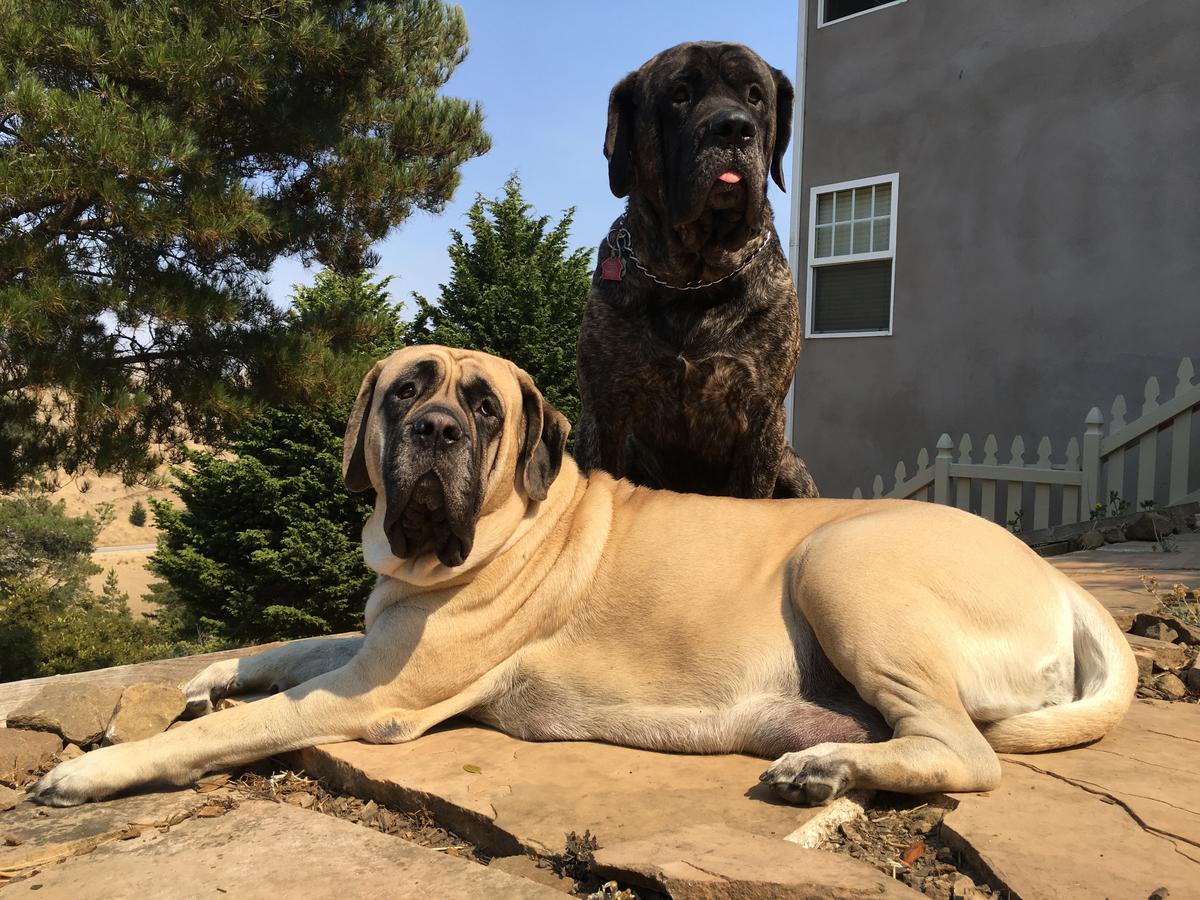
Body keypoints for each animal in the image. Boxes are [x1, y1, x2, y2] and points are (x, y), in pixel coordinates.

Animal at [28, 348, 1132, 811]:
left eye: (483, 407)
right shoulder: (377, 640)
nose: (437, 432)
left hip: (841, 561)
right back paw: (828, 762)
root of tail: (1068, 585)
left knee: (969, 754)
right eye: (403, 394)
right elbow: (295, 643)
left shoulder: (377, 692)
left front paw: (90, 771)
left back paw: (825, 773)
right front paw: (216, 672)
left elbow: (230, 731)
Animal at [576, 42, 820, 501]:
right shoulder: (603, 409)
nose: (734, 128)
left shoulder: (762, 419)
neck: (693, 279)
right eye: (679, 95)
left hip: (793, 468)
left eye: (755, 96)